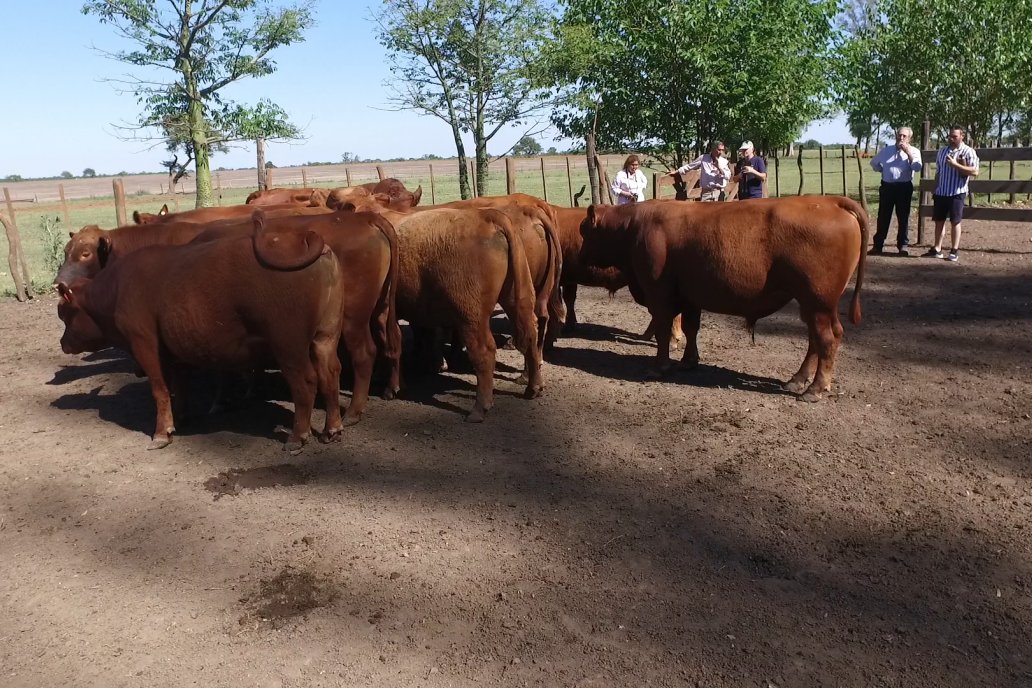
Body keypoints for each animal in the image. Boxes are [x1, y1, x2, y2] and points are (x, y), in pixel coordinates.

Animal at [57, 228, 342, 449]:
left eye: (65, 315)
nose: (62, 343)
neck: (118, 288)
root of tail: (305, 238)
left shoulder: (144, 344)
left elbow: (159, 389)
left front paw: (161, 433)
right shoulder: (175, 351)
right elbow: (180, 385)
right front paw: (180, 417)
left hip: (288, 346)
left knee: (305, 382)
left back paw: (297, 436)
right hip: (325, 338)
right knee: (330, 375)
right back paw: (332, 428)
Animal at [582, 194, 862, 398]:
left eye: (585, 231)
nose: (582, 255)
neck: (634, 225)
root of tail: (830, 200)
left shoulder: (659, 294)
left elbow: (663, 330)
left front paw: (660, 367)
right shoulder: (690, 297)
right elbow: (691, 328)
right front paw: (689, 361)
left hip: (817, 302)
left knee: (826, 339)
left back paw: (815, 389)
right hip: (814, 305)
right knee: (817, 339)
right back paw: (797, 380)